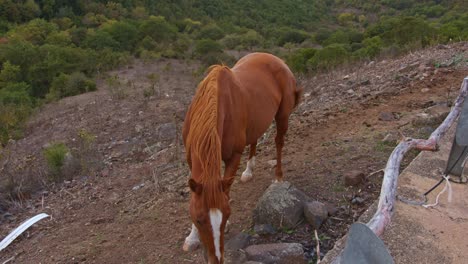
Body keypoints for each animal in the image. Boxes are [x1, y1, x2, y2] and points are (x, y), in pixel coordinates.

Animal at [181, 52, 302, 262]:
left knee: (279, 142)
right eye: (199, 219)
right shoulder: (191, 161)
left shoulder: (233, 157)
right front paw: (191, 238)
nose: (216, 260)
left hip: (282, 116)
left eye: (226, 216)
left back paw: (278, 177)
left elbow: (226, 191)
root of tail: (277, 59)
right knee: (254, 139)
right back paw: (248, 171)